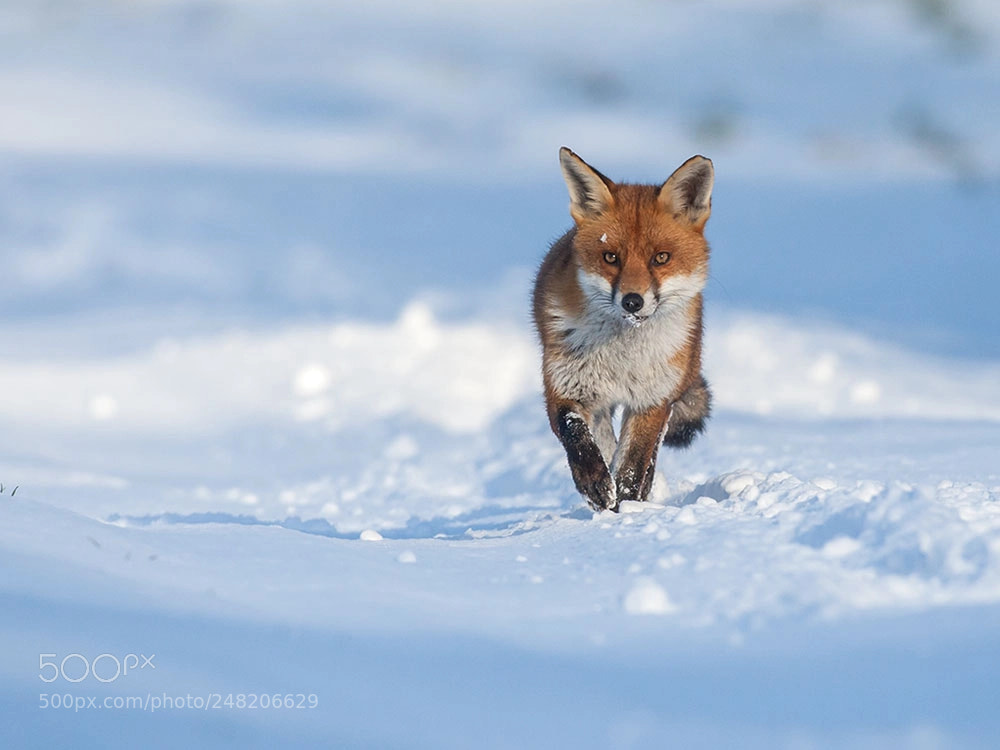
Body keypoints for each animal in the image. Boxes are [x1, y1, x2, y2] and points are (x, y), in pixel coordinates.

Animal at [533, 147, 714, 512]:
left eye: (661, 258)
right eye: (611, 257)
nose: (633, 301)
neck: (622, 356)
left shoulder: (651, 400)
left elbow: (633, 466)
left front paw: (629, 509)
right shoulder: (563, 387)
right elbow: (578, 438)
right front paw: (596, 486)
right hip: (599, 402)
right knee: (604, 441)